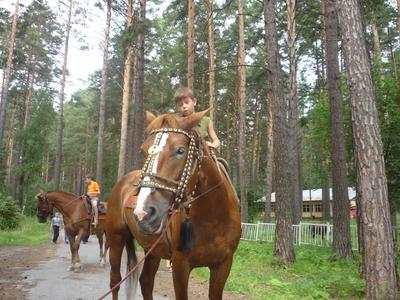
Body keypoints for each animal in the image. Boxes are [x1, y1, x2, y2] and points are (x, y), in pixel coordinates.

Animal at [106, 109, 242, 300]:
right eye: (143, 151)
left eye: (180, 150)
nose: (143, 213)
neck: (213, 218)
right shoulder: (180, 265)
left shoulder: (223, 265)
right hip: (116, 239)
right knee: (115, 281)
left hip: (152, 249)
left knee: (146, 281)